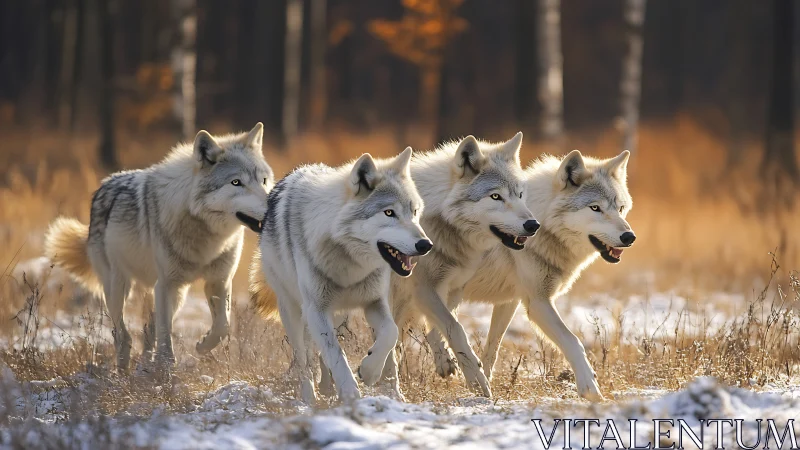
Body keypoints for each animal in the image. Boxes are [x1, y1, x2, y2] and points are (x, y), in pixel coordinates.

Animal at [45, 123, 273, 372]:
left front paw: (202, 346)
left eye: (263, 180)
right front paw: (166, 371)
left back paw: (145, 364)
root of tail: (103, 186)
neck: (205, 233)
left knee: (147, 333)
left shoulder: (219, 281)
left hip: (170, 294)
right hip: (119, 287)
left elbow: (222, 327)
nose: (273, 205)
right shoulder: (167, 284)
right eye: (236, 182)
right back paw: (123, 369)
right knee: (122, 334)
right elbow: (166, 336)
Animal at [250, 147, 432, 403]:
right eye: (389, 213)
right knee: (303, 361)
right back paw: (310, 398)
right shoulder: (316, 309)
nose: (426, 245)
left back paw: (328, 388)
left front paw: (369, 371)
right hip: (293, 310)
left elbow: (390, 333)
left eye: (414, 212)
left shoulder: (375, 302)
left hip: (335, 314)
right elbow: (335, 352)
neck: (348, 262)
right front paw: (349, 393)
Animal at [449, 149, 635, 401]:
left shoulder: (510, 301)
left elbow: (491, 349)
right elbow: (573, 342)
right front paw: (591, 391)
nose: (630, 237)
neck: (542, 228)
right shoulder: (538, 303)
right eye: (596, 208)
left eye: (621, 208)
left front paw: (483, 389)